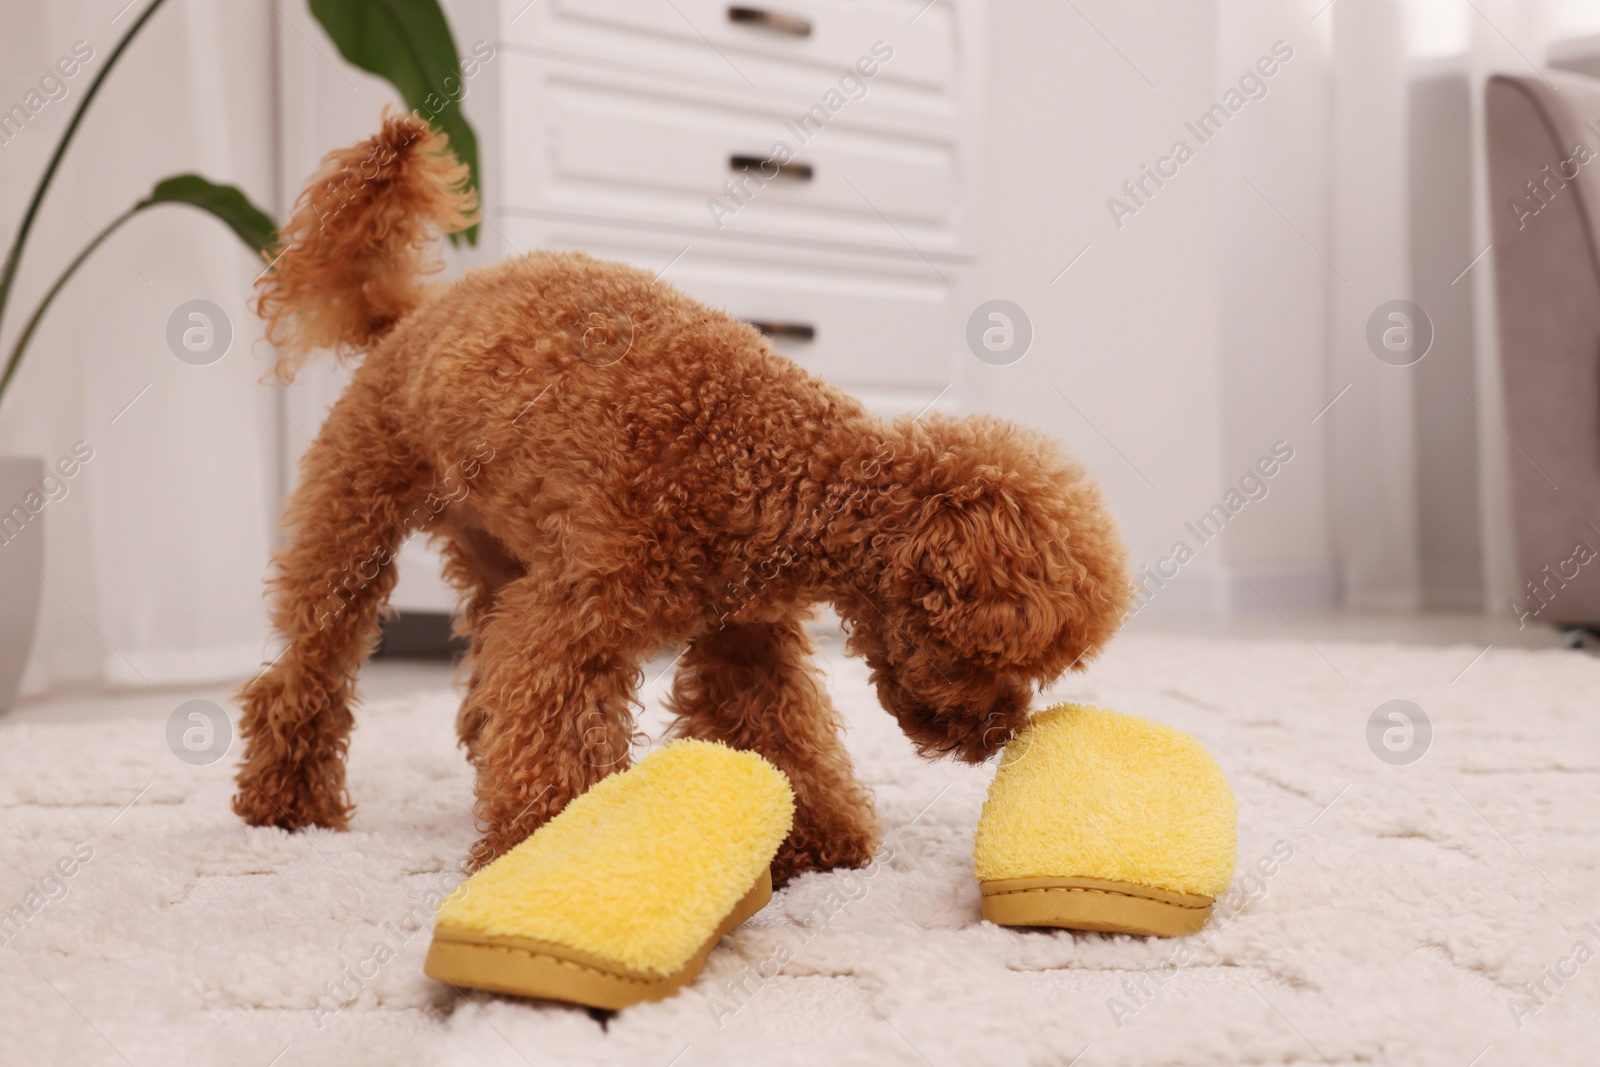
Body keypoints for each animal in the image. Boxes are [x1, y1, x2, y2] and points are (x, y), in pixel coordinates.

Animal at [236, 115, 1132, 883]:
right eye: (990, 658)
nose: (1002, 731)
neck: (782, 466)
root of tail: (407, 319)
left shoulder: (744, 632)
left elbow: (783, 731)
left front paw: (817, 842)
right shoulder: (577, 617)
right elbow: (557, 728)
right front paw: (547, 847)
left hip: (500, 550)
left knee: (484, 659)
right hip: (354, 515)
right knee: (310, 662)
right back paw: (286, 801)